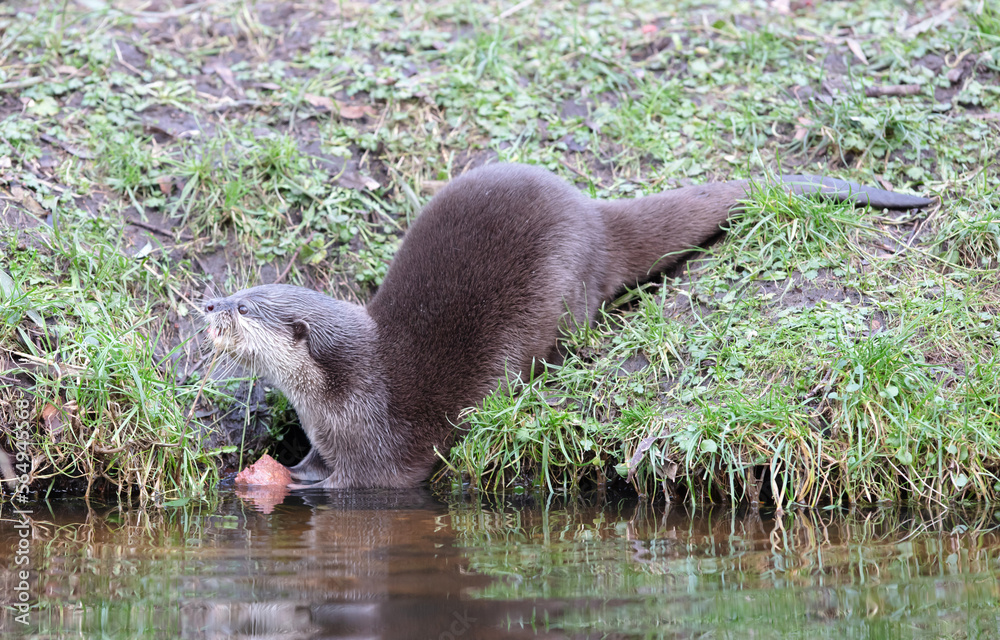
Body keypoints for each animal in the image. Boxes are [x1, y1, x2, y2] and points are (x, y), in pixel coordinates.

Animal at [203, 163, 932, 489]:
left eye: (245, 308)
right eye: (235, 292)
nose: (207, 306)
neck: (350, 389)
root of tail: (595, 215)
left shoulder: (381, 449)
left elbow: (364, 483)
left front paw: (298, 486)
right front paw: (289, 470)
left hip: (565, 294)